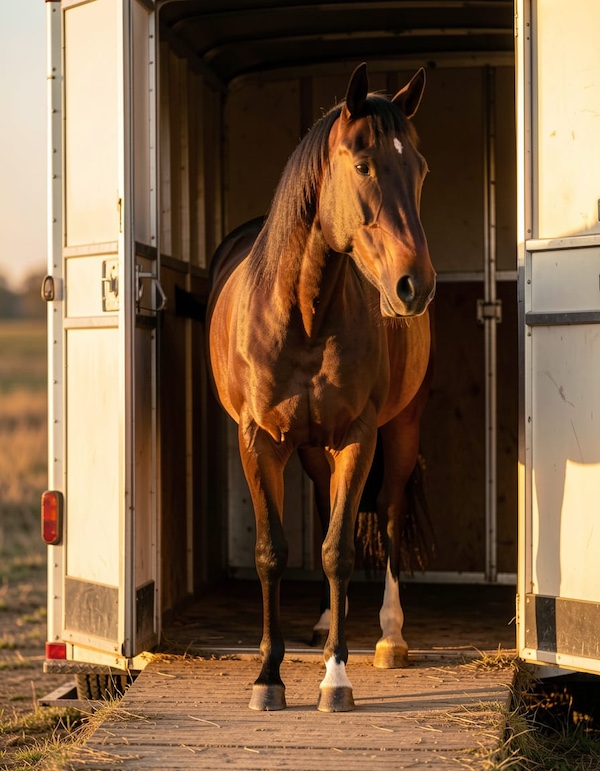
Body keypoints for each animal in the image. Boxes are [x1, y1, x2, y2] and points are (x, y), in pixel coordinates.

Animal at [207, 63, 435, 712]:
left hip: (401, 428)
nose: (414, 285)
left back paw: (389, 638)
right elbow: (273, 552)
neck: (302, 313)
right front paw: (268, 675)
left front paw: (336, 676)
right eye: (363, 165)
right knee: (327, 504)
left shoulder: (359, 435)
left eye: (420, 169)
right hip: (309, 450)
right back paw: (324, 621)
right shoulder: (259, 441)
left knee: (387, 514)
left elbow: (338, 549)